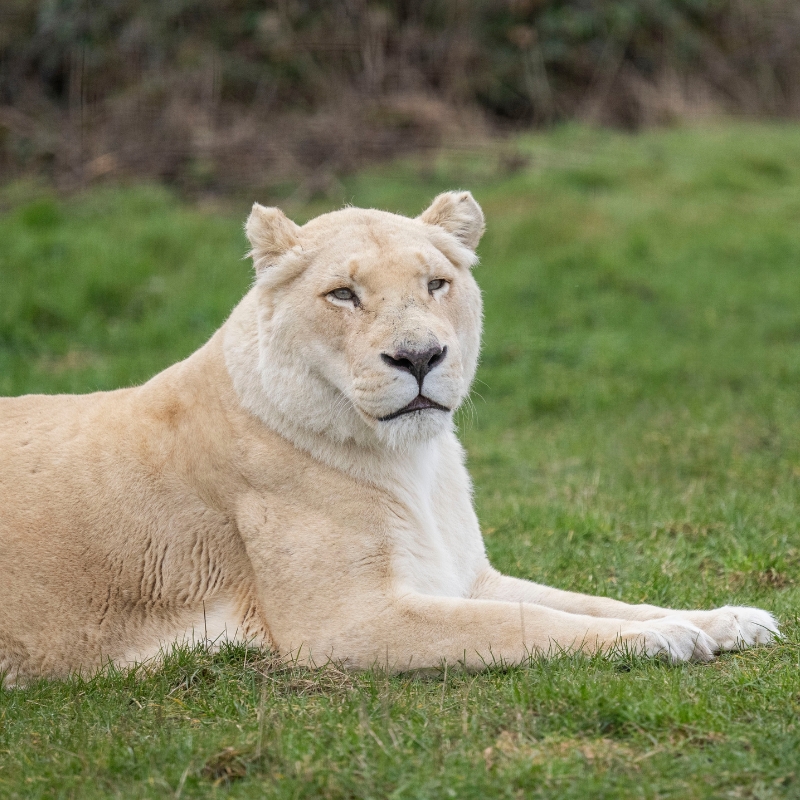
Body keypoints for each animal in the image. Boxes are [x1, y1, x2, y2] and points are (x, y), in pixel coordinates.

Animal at [0, 191, 778, 685]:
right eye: (343, 295)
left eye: (435, 284)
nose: (420, 357)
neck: (414, 463)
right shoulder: (345, 623)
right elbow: (521, 625)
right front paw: (660, 639)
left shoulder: (467, 576)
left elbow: (586, 600)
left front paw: (728, 619)